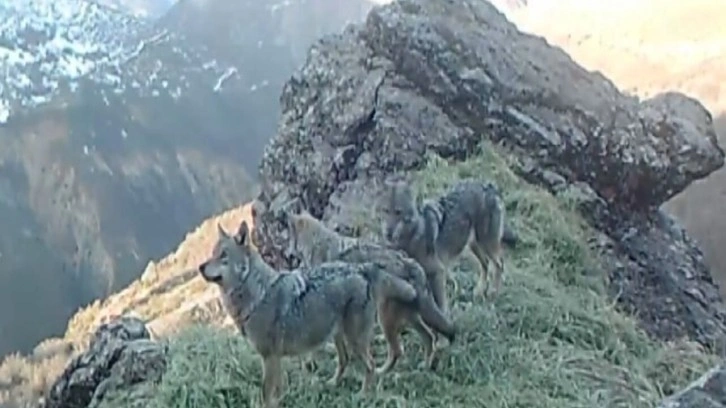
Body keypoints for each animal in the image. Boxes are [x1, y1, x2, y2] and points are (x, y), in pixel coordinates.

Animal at [199, 222, 418, 406]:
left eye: (223, 255)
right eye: (212, 253)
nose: (200, 267)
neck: (257, 295)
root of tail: (362, 269)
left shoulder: (269, 357)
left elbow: (265, 394)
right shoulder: (275, 359)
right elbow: (276, 392)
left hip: (355, 340)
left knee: (371, 365)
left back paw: (363, 395)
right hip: (339, 337)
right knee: (345, 361)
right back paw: (332, 383)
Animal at [288, 212, 458, 374]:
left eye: (289, 238)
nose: (288, 256)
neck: (316, 243)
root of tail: (409, 262)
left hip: (385, 319)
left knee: (398, 350)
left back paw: (382, 372)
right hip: (409, 317)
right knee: (429, 337)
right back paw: (424, 367)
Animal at [382, 177, 516, 314]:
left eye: (398, 212)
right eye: (385, 211)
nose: (388, 232)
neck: (415, 233)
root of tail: (489, 186)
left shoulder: (439, 272)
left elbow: (441, 305)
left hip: (486, 244)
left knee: (499, 264)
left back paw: (493, 295)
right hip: (473, 245)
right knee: (486, 264)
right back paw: (478, 292)